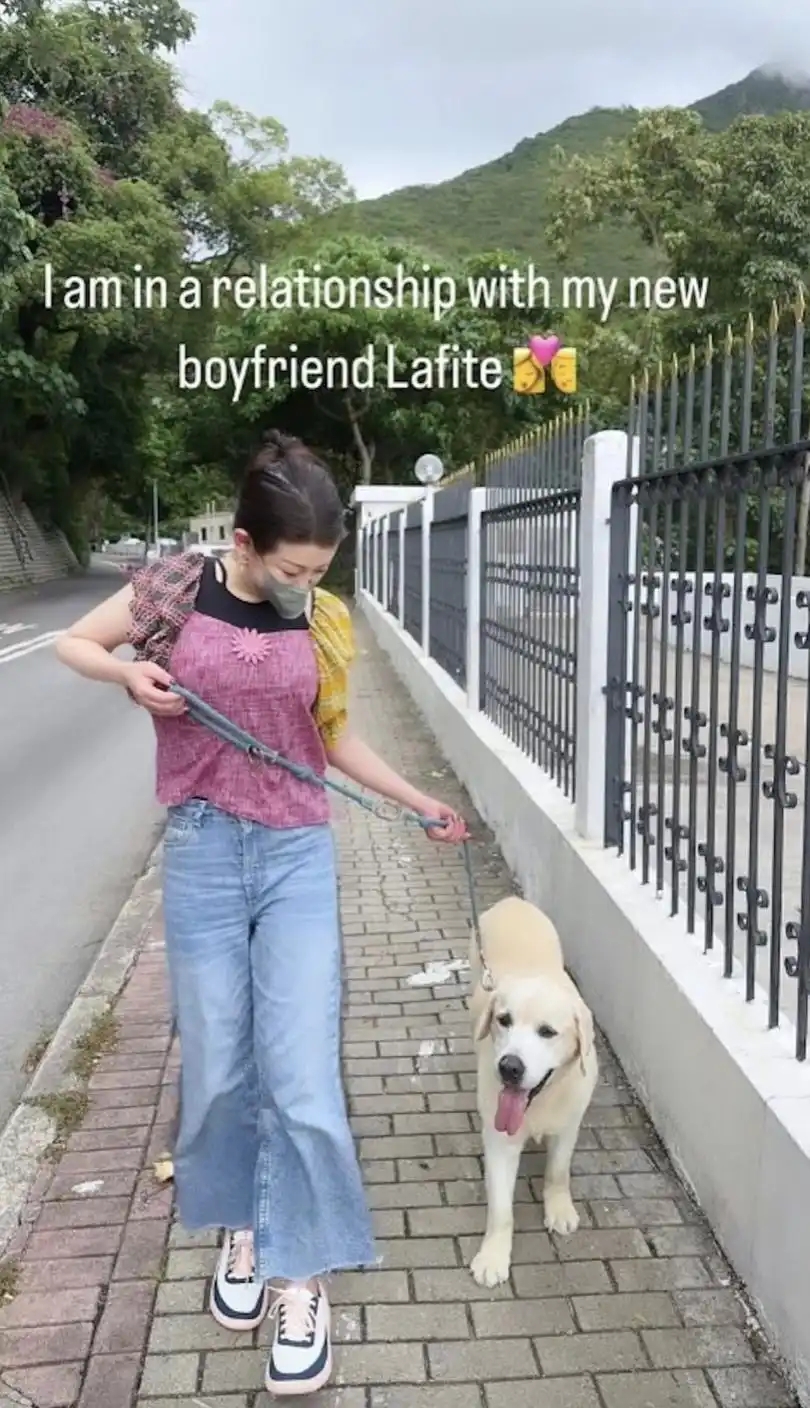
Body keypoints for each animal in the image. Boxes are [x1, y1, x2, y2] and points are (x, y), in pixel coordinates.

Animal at [468, 896, 598, 1287]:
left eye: (547, 1032)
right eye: (504, 1020)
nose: (509, 1067)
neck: (540, 1101)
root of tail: (513, 901)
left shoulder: (569, 1125)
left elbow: (558, 1171)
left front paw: (559, 1208)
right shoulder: (499, 1140)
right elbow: (501, 1210)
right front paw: (493, 1256)